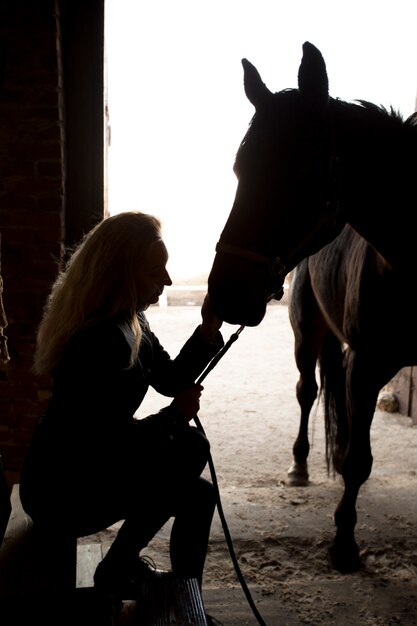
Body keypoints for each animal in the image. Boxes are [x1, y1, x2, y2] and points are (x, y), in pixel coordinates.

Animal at [207, 41, 416, 572]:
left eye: (300, 175)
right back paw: (300, 466)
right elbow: (358, 462)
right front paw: (344, 545)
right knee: (308, 391)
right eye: (240, 171)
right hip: (307, 334)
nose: (225, 295)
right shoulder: (366, 363)